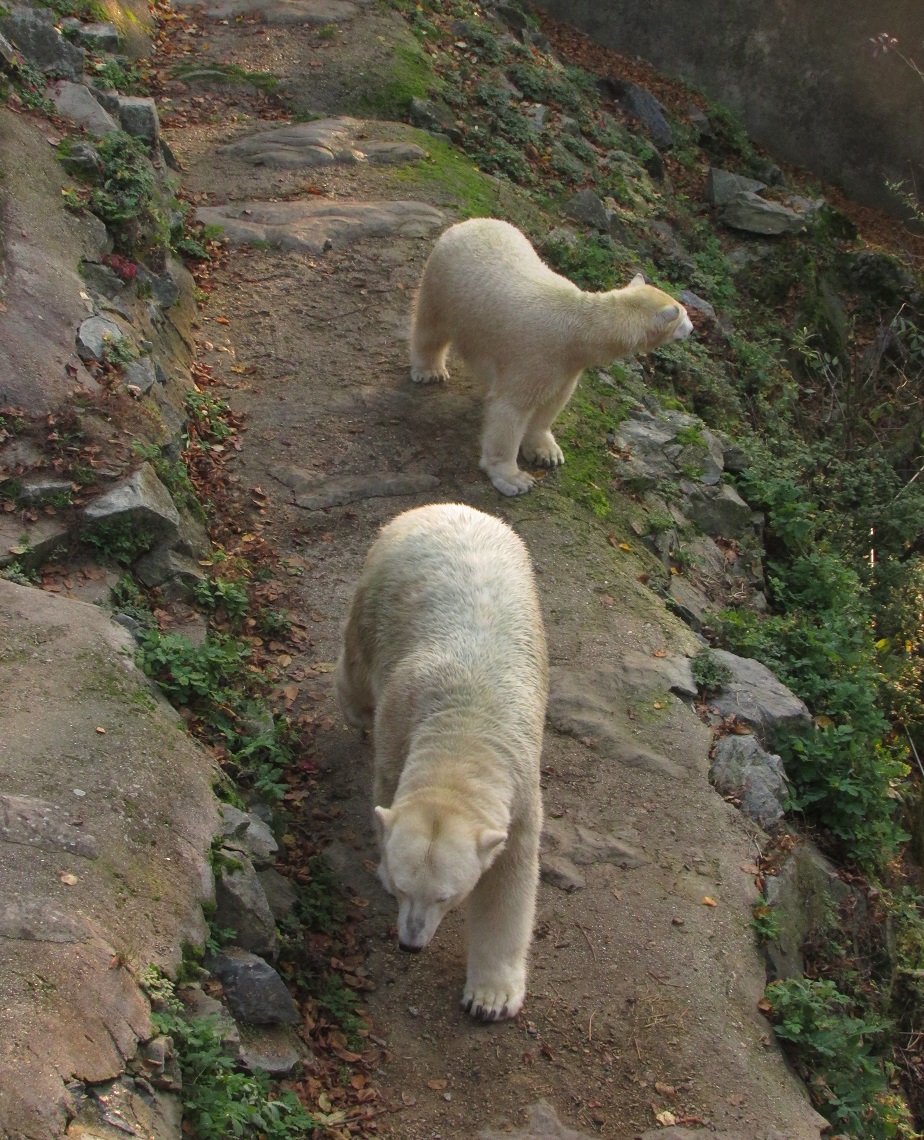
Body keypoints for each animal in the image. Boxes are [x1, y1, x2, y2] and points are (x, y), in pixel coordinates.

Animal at [334, 503, 544, 1021]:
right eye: (405, 888)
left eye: (447, 896)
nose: (410, 944)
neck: (465, 730)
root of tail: (448, 507)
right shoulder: (397, 725)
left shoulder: (520, 792)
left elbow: (510, 882)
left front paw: (491, 999)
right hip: (377, 591)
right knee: (357, 666)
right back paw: (352, 706)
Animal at [407, 217, 688, 494]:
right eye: (684, 315)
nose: (692, 327)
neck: (578, 329)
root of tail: (470, 221)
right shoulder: (538, 354)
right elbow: (512, 409)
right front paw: (514, 478)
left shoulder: (567, 366)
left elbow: (553, 402)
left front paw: (547, 453)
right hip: (442, 283)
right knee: (431, 329)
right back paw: (430, 371)